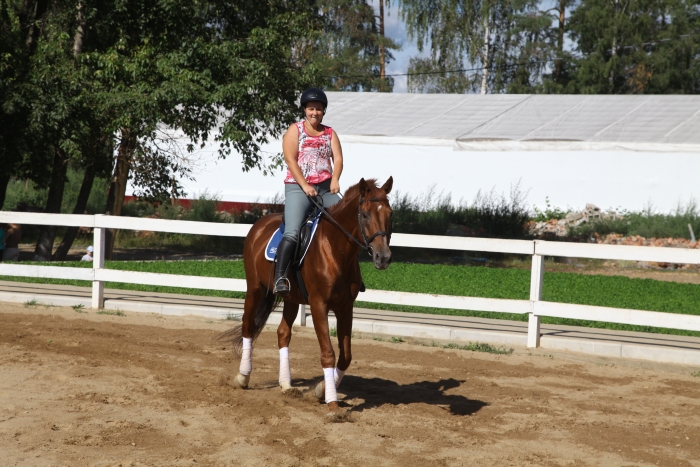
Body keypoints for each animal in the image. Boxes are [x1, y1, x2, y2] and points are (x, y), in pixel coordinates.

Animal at [222, 177, 394, 415]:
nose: (383, 257)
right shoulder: (318, 304)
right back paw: (243, 376)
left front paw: (321, 390)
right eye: (366, 214)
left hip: (291, 298)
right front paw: (332, 403)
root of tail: (259, 224)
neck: (335, 248)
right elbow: (328, 353)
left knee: (283, 333)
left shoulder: (345, 307)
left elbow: (346, 356)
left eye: (390, 214)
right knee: (248, 326)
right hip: (255, 288)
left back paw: (286, 384)